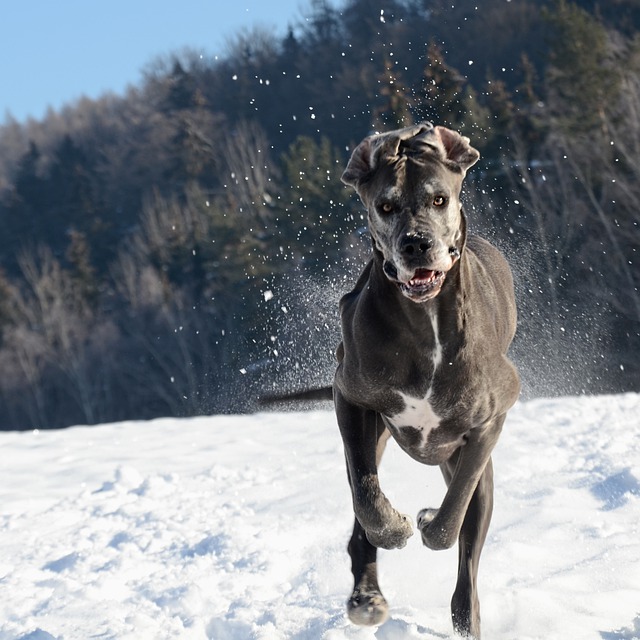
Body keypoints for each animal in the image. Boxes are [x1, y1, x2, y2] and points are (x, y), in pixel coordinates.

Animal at [332, 122, 524, 636]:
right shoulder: (350, 399)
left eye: (439, 199)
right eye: (385, 206)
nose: (416, 243)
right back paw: (366, 597)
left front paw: (428, 519)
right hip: (375, 433)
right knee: (361, 510)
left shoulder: (489, 422)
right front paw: (397, 527)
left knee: (468, 551)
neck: (426, 321)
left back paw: (465, 617)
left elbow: (452, 516)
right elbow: (368, 500)